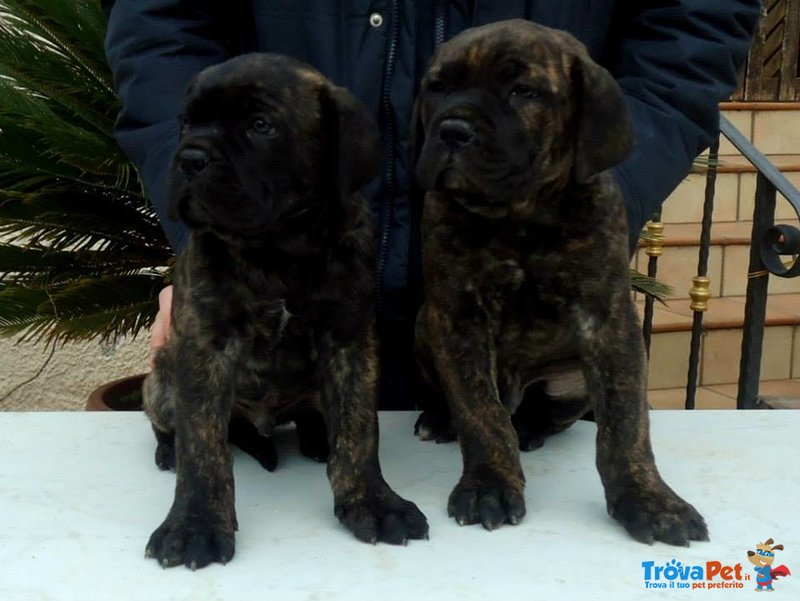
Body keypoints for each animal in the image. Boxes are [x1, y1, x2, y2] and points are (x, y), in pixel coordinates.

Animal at [144, 52, 432, 568]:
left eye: (261, 126)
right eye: (186, 122)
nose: (190, 158)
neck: (276, 247)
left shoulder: (349, 342)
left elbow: (360, 429)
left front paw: (372, 502)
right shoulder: (203, 349)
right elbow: (203, 448)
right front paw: (195, 524)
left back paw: (318, 439)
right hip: (161, 371)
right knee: (169, 424)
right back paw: (168, 450)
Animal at [412, 21, 708, 548]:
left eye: (523, 91)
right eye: (437, 87)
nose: (452, 130)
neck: (520, 218)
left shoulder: (608, 321)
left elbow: (624, 425)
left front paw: (648, 500)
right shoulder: (458, 318)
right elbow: (479, 411)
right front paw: (489, 484)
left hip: (572, 380)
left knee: (547, 412)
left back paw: (530, 428)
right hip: (425, 327)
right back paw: (443, 420)